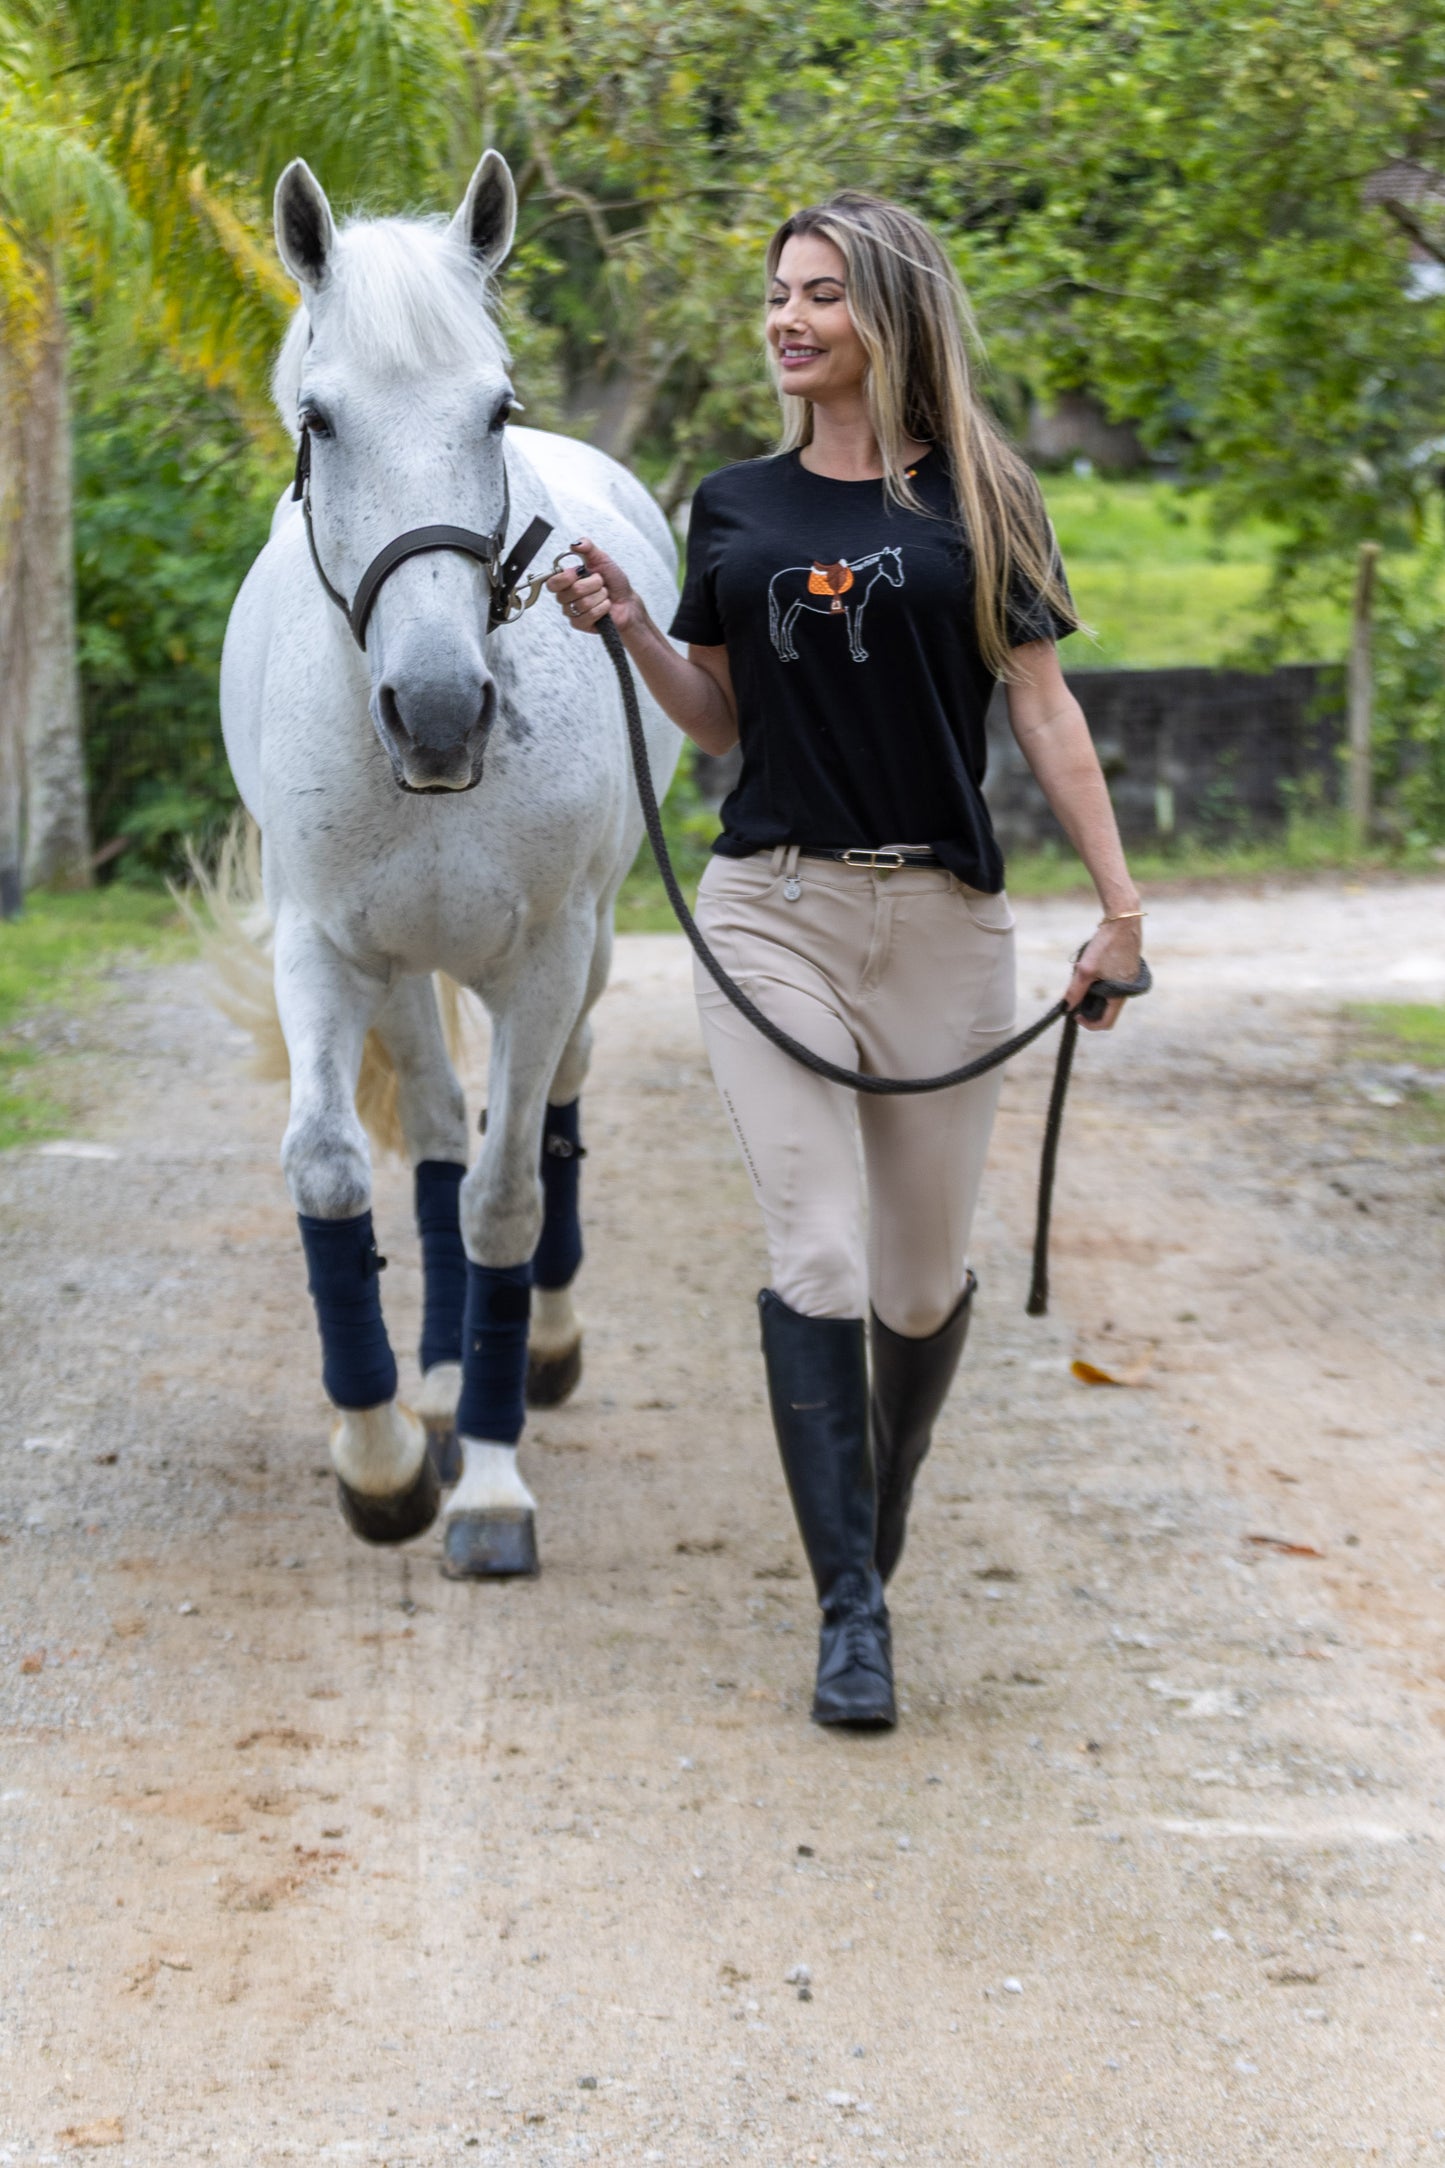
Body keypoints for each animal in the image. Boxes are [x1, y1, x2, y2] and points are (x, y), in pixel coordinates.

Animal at [213, 149, 681, 1578]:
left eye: (496, 410)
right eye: (319, 420)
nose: (435, 712)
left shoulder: (544, 961)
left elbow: (505, 1200)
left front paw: (488, 1480)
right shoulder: (327, 947)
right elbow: (333, 1167)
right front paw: (381, 1459)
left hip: (584, 953)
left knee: (550, 1113)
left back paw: (532, 1353)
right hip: (404, 969)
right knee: (423, 1129)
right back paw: (427, 1376)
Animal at [767, 545, 904, 664]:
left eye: (898, 563)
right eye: (888, 564)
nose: (898, 581)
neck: (859, 579)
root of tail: (775, 579)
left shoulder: (859, 608)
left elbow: (857, 628)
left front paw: (861, 652)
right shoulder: (852, 609)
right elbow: (851, 629)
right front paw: (857, 654)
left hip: (796, 607)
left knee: (786, 626)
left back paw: (791, 653)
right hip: (785, 607)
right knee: (779, 627)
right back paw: (783, 655)